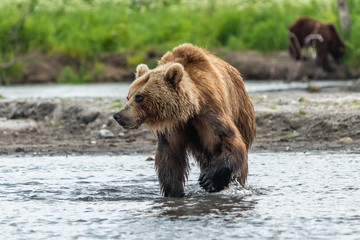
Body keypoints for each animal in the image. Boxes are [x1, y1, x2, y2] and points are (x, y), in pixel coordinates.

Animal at [112, 43, 256, 197]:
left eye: (139, 97)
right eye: (128, 96)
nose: (118, 115)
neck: (189, 111)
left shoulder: (209, 111)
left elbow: (229, 140)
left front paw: (209, 179)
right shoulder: (172, 126)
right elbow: (170, 157)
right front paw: (173, 192)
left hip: (242, 115)